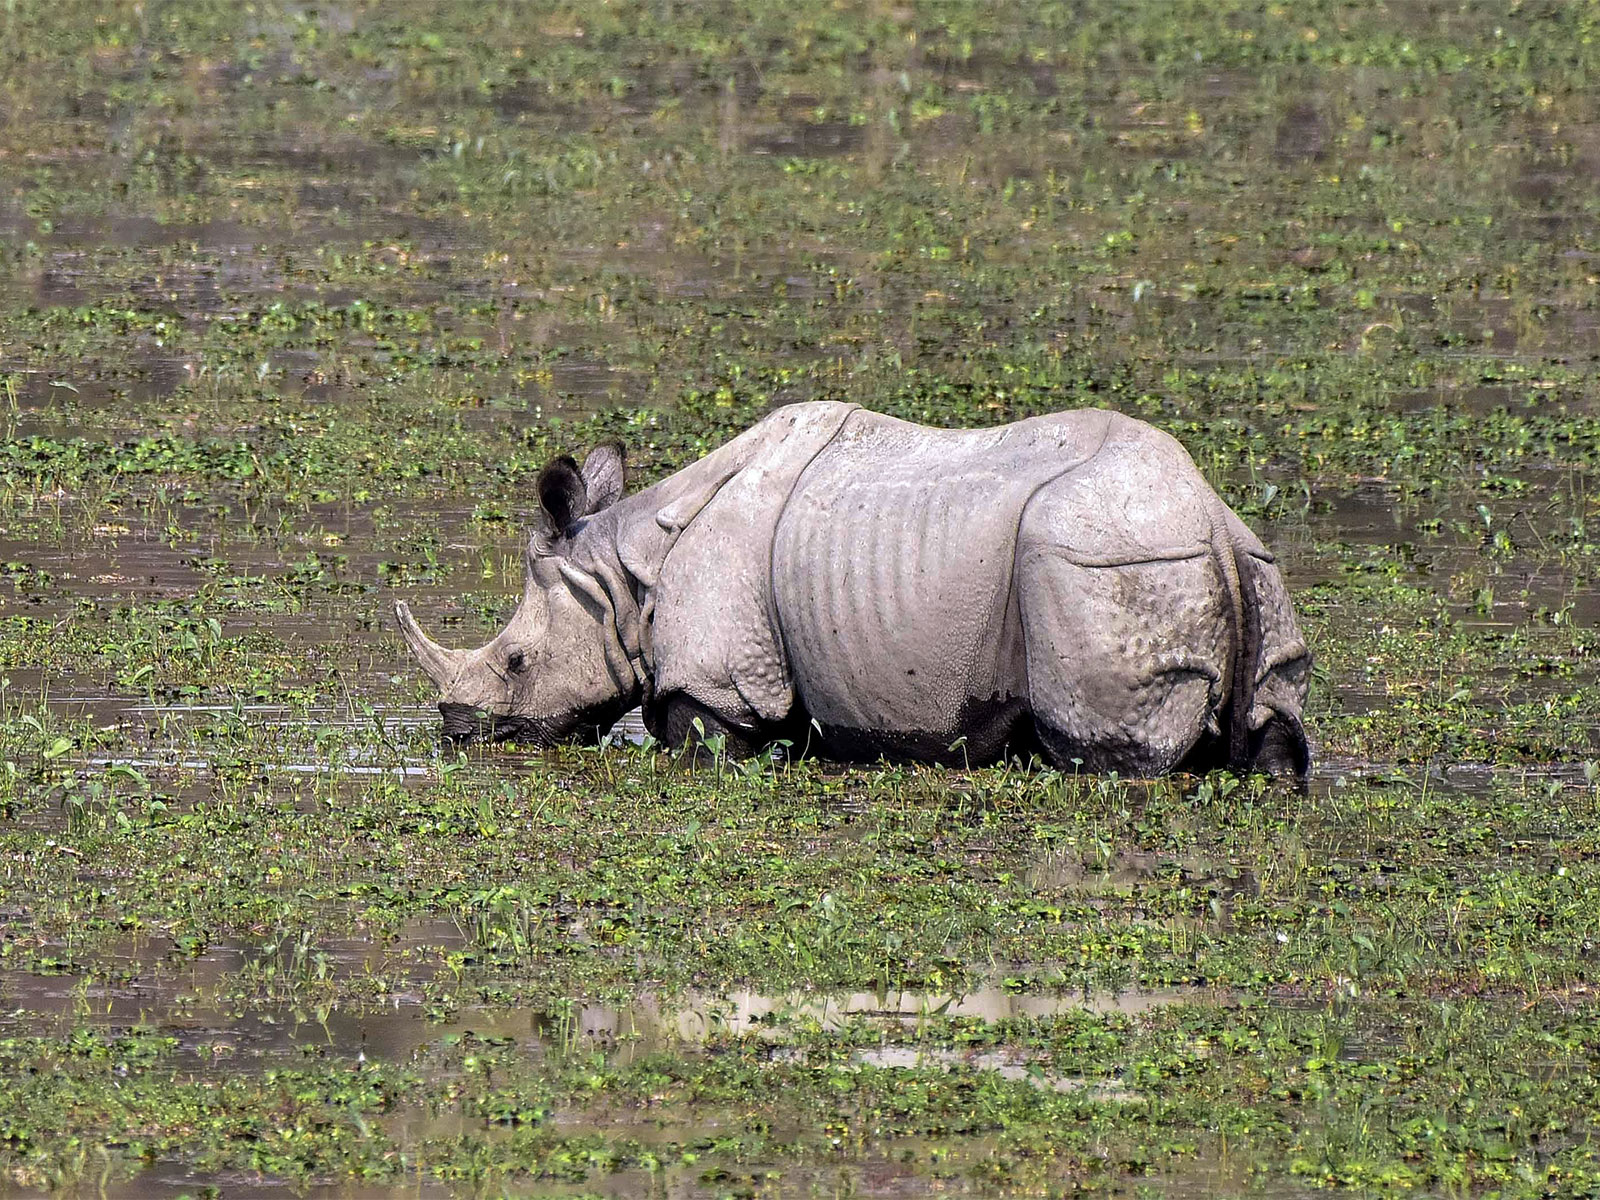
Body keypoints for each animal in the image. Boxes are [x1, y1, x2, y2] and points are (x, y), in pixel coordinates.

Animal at [396, 402, 1311, 776]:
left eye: (516, 662)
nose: (455, 730)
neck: (622, 573)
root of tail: (1207, 514)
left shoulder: (719, 683)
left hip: (1098, 563)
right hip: (1238, 563)